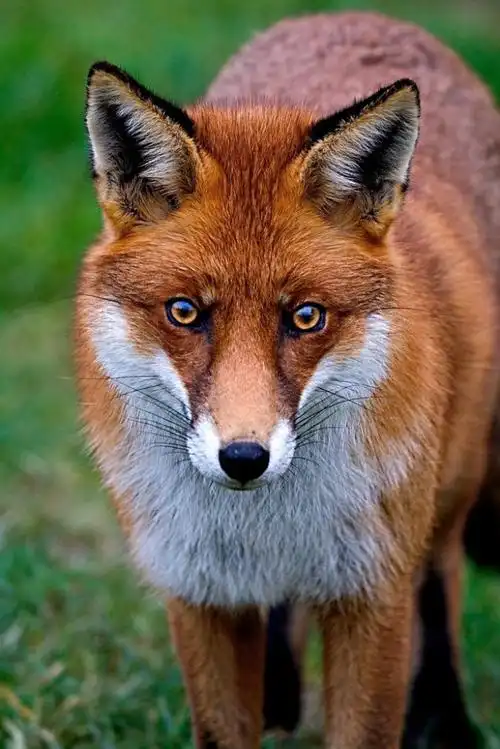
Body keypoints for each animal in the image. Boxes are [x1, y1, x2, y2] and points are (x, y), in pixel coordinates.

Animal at [74, 10, 500, 749]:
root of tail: (352, 15)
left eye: (306, 317)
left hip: (451, 483)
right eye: (184, 312)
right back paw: (279, 696)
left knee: (441, 582)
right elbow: (224, 726)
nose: (244, 458)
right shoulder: (199, 594)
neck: (269, 528)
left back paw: (444, 719)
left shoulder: (372, 594)